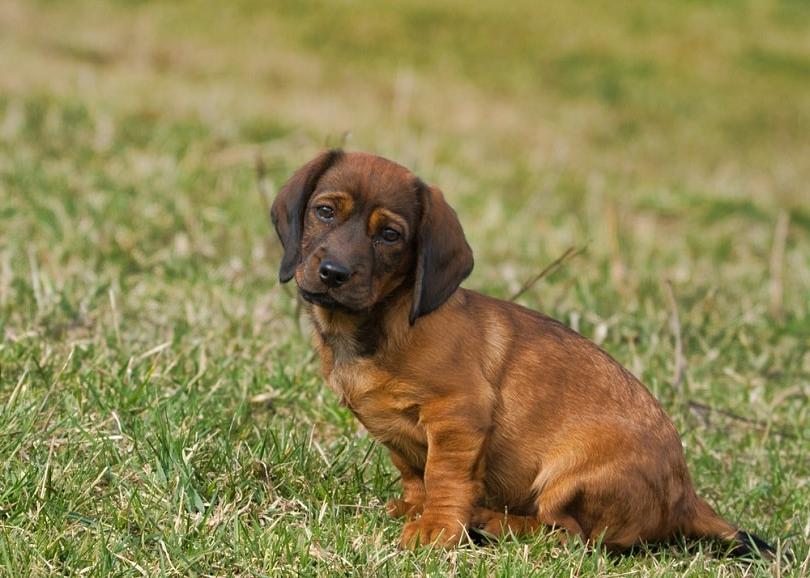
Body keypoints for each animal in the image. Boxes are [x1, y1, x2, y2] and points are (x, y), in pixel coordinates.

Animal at [270, 148, 772, 552]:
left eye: (390, 235)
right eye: (325, 211)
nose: (334, 273)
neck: (378, 326)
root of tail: (685, 497)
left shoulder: (458, 415)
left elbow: (445, 477)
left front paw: (437, 527)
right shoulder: (399, 437)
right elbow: (416, 473)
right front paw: (415, 508)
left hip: (567, 478)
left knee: (570, 535)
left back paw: (493, 522)